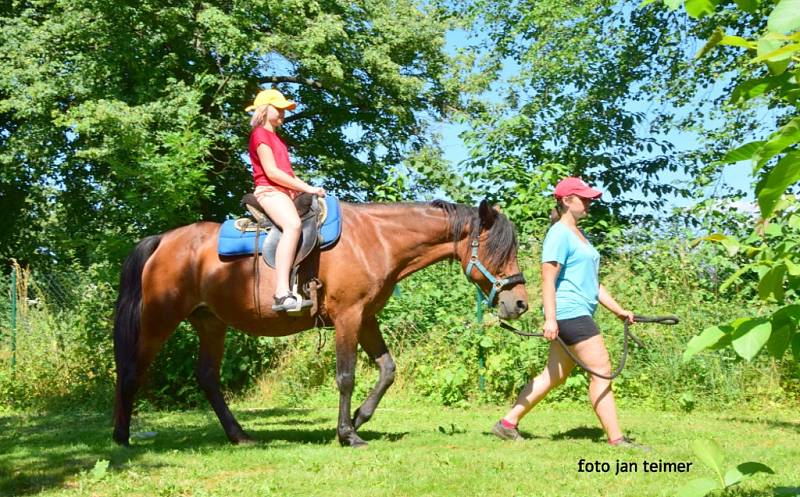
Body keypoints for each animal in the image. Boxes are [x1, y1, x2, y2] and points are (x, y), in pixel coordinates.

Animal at [111, 200, 524, 448]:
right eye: (499, 250)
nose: (519, 303)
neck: (377, 240)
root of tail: (163, 240)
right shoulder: (348, 317)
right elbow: (346, 377)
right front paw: (347, 434)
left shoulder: (366, 318)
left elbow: (387, 370)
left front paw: (358, 420)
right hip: (159, 319)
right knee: (132, 370)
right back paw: (121, 437)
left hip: (211, 323)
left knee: (208, 377)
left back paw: (239, 435)